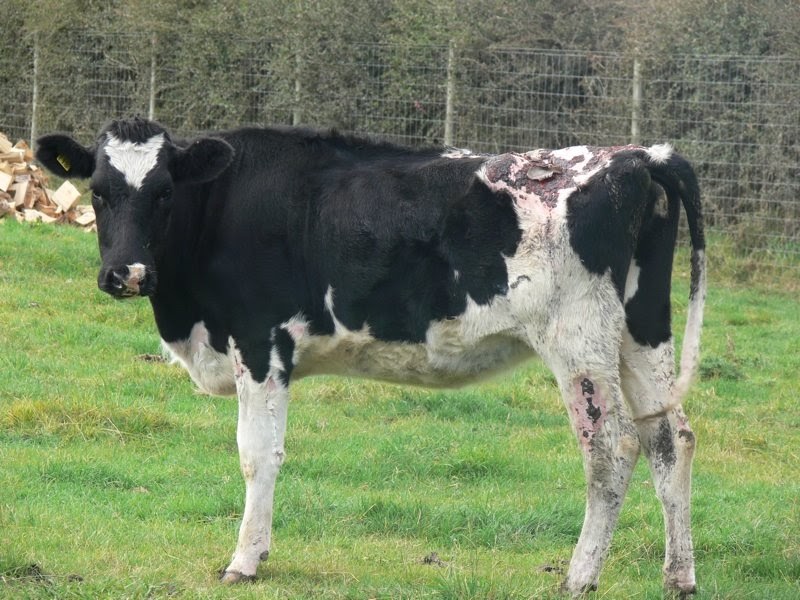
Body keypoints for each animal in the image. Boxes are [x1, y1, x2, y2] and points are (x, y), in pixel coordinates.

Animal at [36, 117, 705, 596]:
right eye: (100, 192)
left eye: (165, 192)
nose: (127, 273)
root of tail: (636, 155)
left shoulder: (261, 342)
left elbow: (258, 455)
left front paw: (245, 560)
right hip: (641, 330)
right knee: (670, 439)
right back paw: (679, 578)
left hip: (579, 340)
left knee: (612, 447)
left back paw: (579, 577)